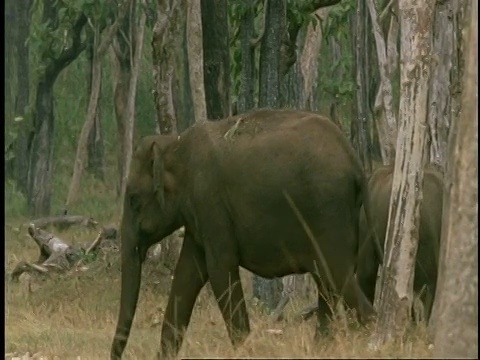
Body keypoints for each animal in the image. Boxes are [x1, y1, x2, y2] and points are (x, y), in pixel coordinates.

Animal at [109, 108, 382, 358]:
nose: (117, 354)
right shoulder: (198, 216)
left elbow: (220, 271)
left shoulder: (210, 202)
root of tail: (355, 162)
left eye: (133, 200)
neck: (174, 144)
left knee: (336, 276)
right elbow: (187, 274)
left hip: (328, 213)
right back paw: (321, 349)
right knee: (327, 283)